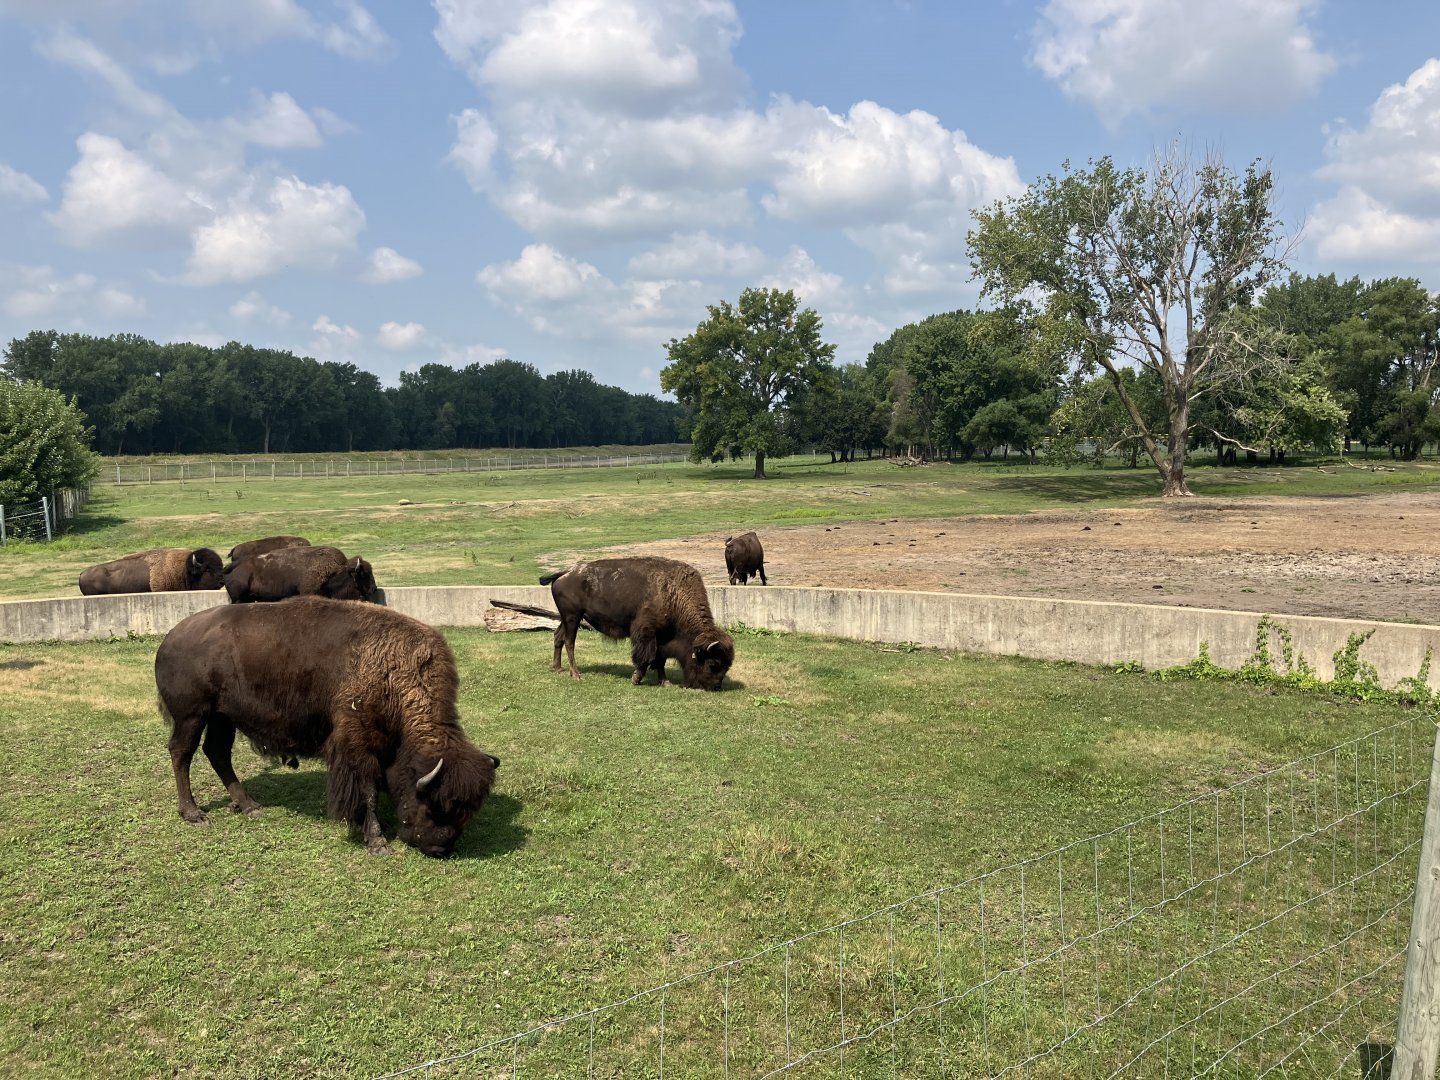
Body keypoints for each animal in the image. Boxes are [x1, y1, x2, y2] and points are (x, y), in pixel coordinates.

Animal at [155, 597, 499, 856]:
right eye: (434, 807)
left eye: (468, 812)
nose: (440, 849)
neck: (398, 672)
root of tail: (171, 636)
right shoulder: (357, 743)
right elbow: (367, 791)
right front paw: (377, 842)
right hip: (192, 716)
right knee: (181, 753)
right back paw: (194, 813)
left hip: (222, 717)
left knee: (217, 752)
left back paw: (250, 805)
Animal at [541, 556, 734, 690]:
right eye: (713, 663)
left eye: (727, 666)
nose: (715, 687)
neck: (674, 594)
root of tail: (565, 573)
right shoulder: (646, 632)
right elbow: (647, 656)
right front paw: (636, 679)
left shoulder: (662, 637)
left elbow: (660, 659)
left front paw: (665, 682)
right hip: (572, 616)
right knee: (569, 642)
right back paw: (576, 675)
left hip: (567, 618)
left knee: (558, 636)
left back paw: (557, 668)